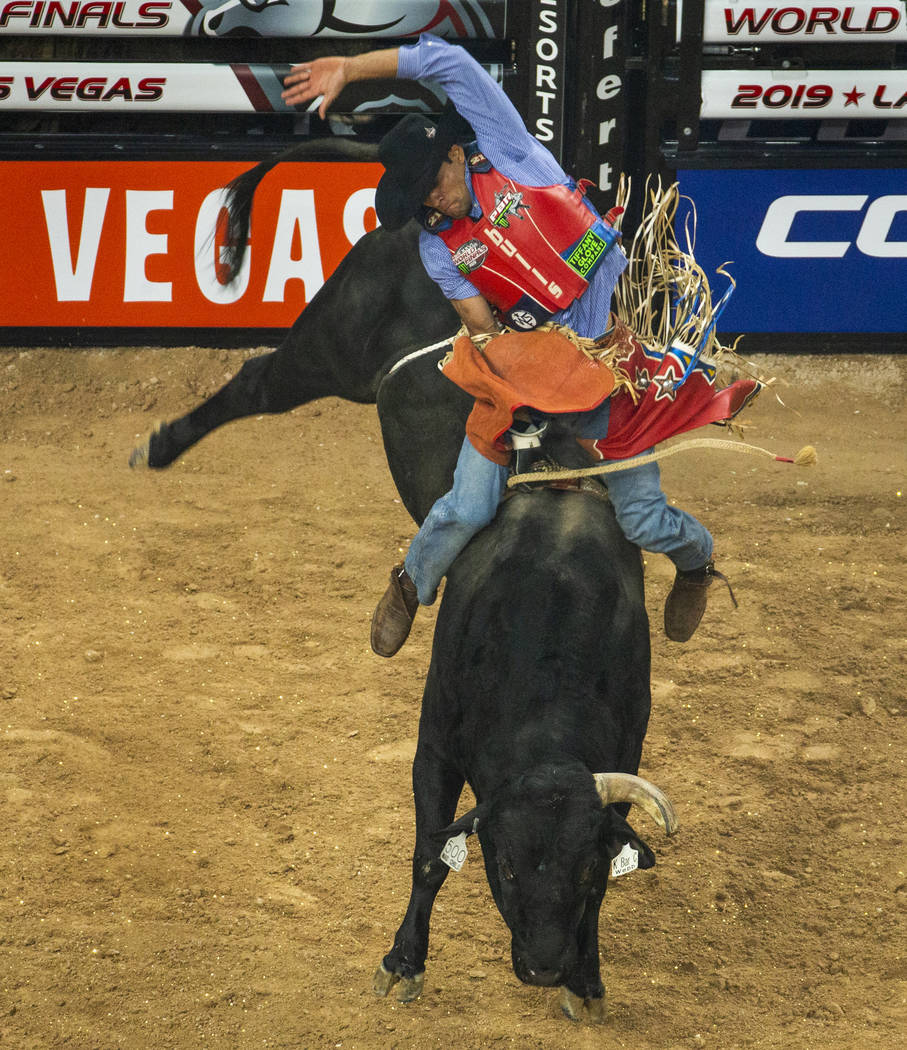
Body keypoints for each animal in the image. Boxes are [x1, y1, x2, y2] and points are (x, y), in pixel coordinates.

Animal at [131, 193, 676, 1020]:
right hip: (325, 347)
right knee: (256, 382)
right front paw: (403, 961)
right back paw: (159, 447)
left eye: (581, 870)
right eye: (505, 865)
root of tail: (419, 222)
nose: (543, 967)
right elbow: (428, 856)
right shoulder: (434, 741)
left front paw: (587, 979)